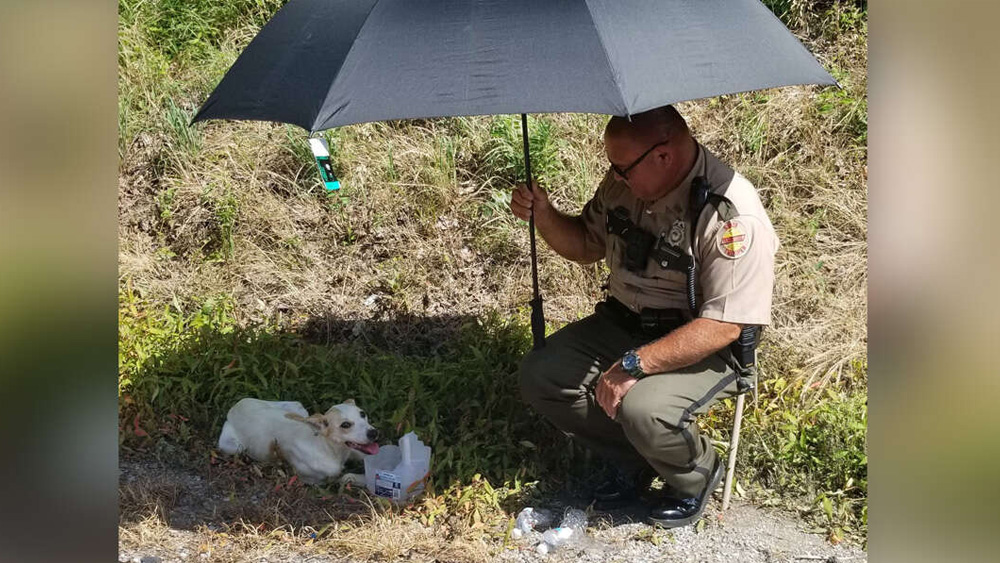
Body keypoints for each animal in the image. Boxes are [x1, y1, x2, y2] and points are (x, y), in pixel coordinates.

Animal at [219, 396, 378, 484]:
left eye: (362, 414)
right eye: (345, 425)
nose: (374, 433)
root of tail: (235, 407)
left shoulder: (354, 450)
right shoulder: (316, 480)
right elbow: (346, 477)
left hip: (297, 406)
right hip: (232, 447)